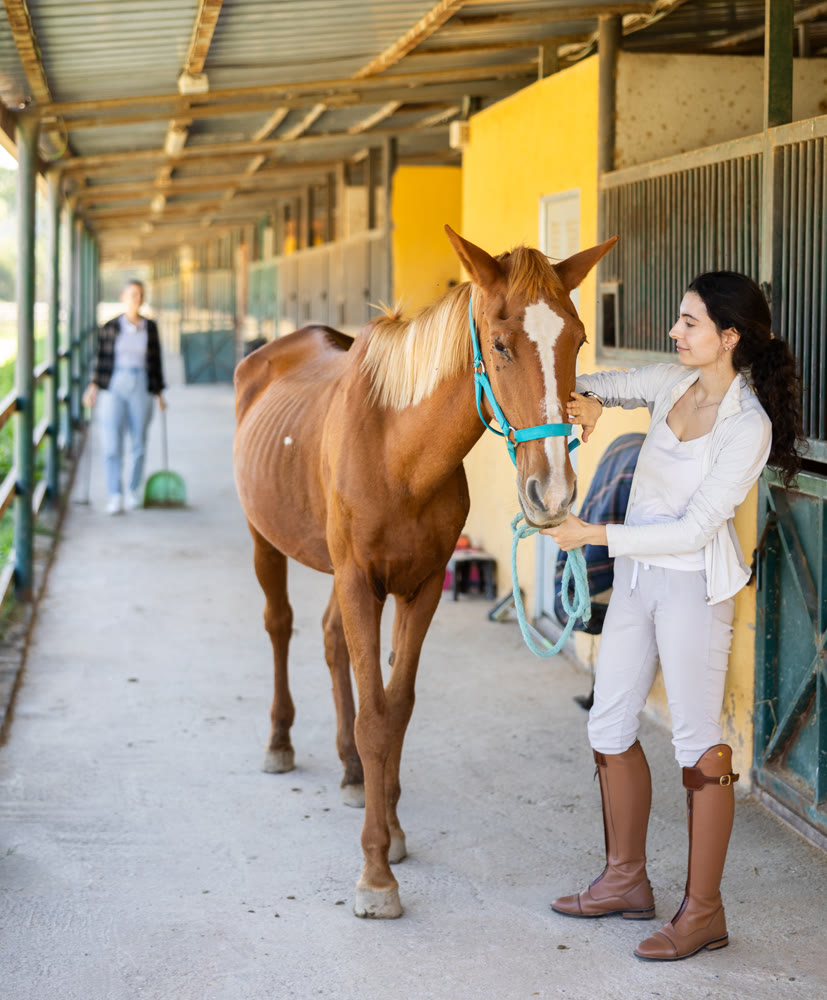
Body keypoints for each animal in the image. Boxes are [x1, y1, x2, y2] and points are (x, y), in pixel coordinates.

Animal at [233, 226, 617, 918]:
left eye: (577, 340)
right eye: (500, 344)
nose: (551, 493)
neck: (398, 452)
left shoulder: (419, 588)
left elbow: (397, 707)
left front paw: (390, 830)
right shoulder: (362, 583)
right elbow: (374, 717)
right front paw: (375, 874)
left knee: (330, 640)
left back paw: (352, 772)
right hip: (266, 542)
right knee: (280, 626)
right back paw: (280, 743)